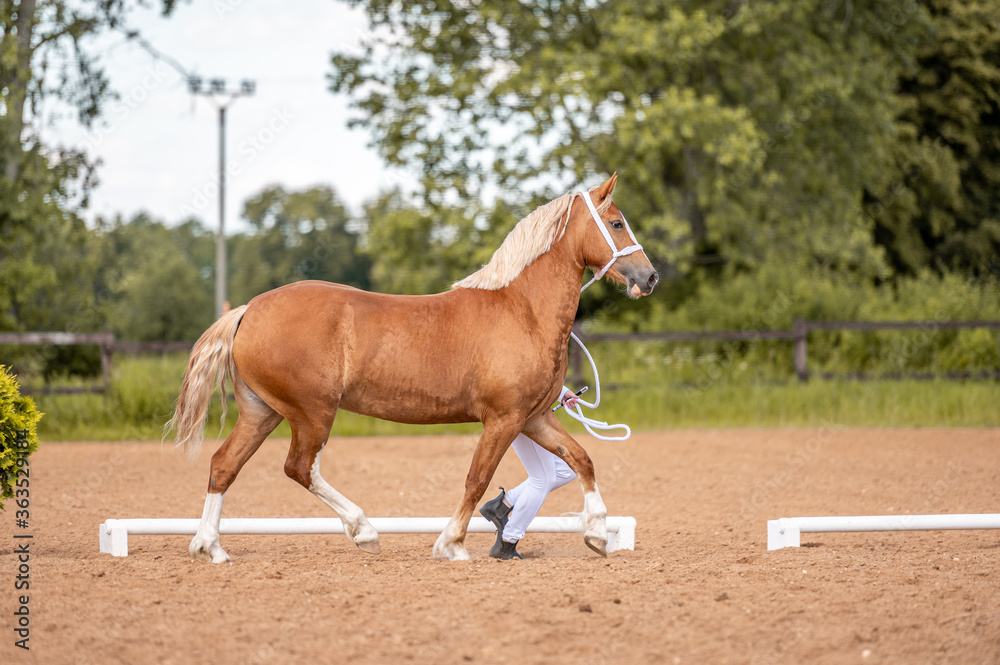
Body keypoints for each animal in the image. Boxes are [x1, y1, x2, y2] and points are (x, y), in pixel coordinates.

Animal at [167, 173, 658, 562]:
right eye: (617, 223)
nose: (650, 277)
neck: (522, 311)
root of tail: (248, 310)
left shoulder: (533, 417)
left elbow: (582, 459)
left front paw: (597, 532)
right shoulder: (503, 419)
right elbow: (477, 479)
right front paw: (451, 544)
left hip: (262, 411)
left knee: (224, 466)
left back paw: (210, 547)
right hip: (312, 413)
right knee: (300, 468)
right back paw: (364, 531)